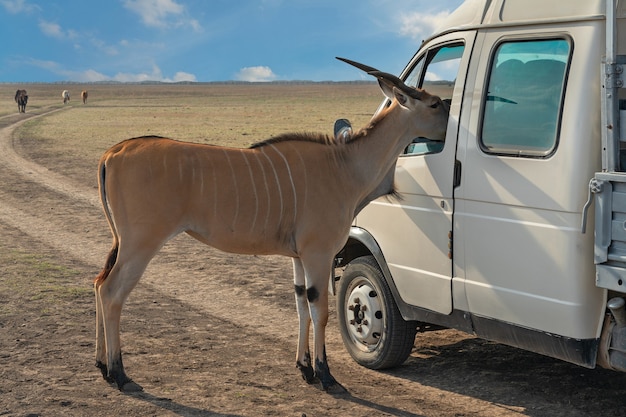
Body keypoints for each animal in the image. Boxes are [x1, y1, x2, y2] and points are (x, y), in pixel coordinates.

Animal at [92, 57, 446, 392]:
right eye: (434, 104)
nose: (450, 123)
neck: (345, 166)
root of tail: (112, 153)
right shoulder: (318, 253)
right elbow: (320, 311)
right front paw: (326, 376)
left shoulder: (299, 257)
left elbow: (302, 304)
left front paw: (304, 368)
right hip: (141, 243)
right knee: (111, 291)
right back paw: (120, 374)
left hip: (122, 243)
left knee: (98, 282)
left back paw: (102, 367)